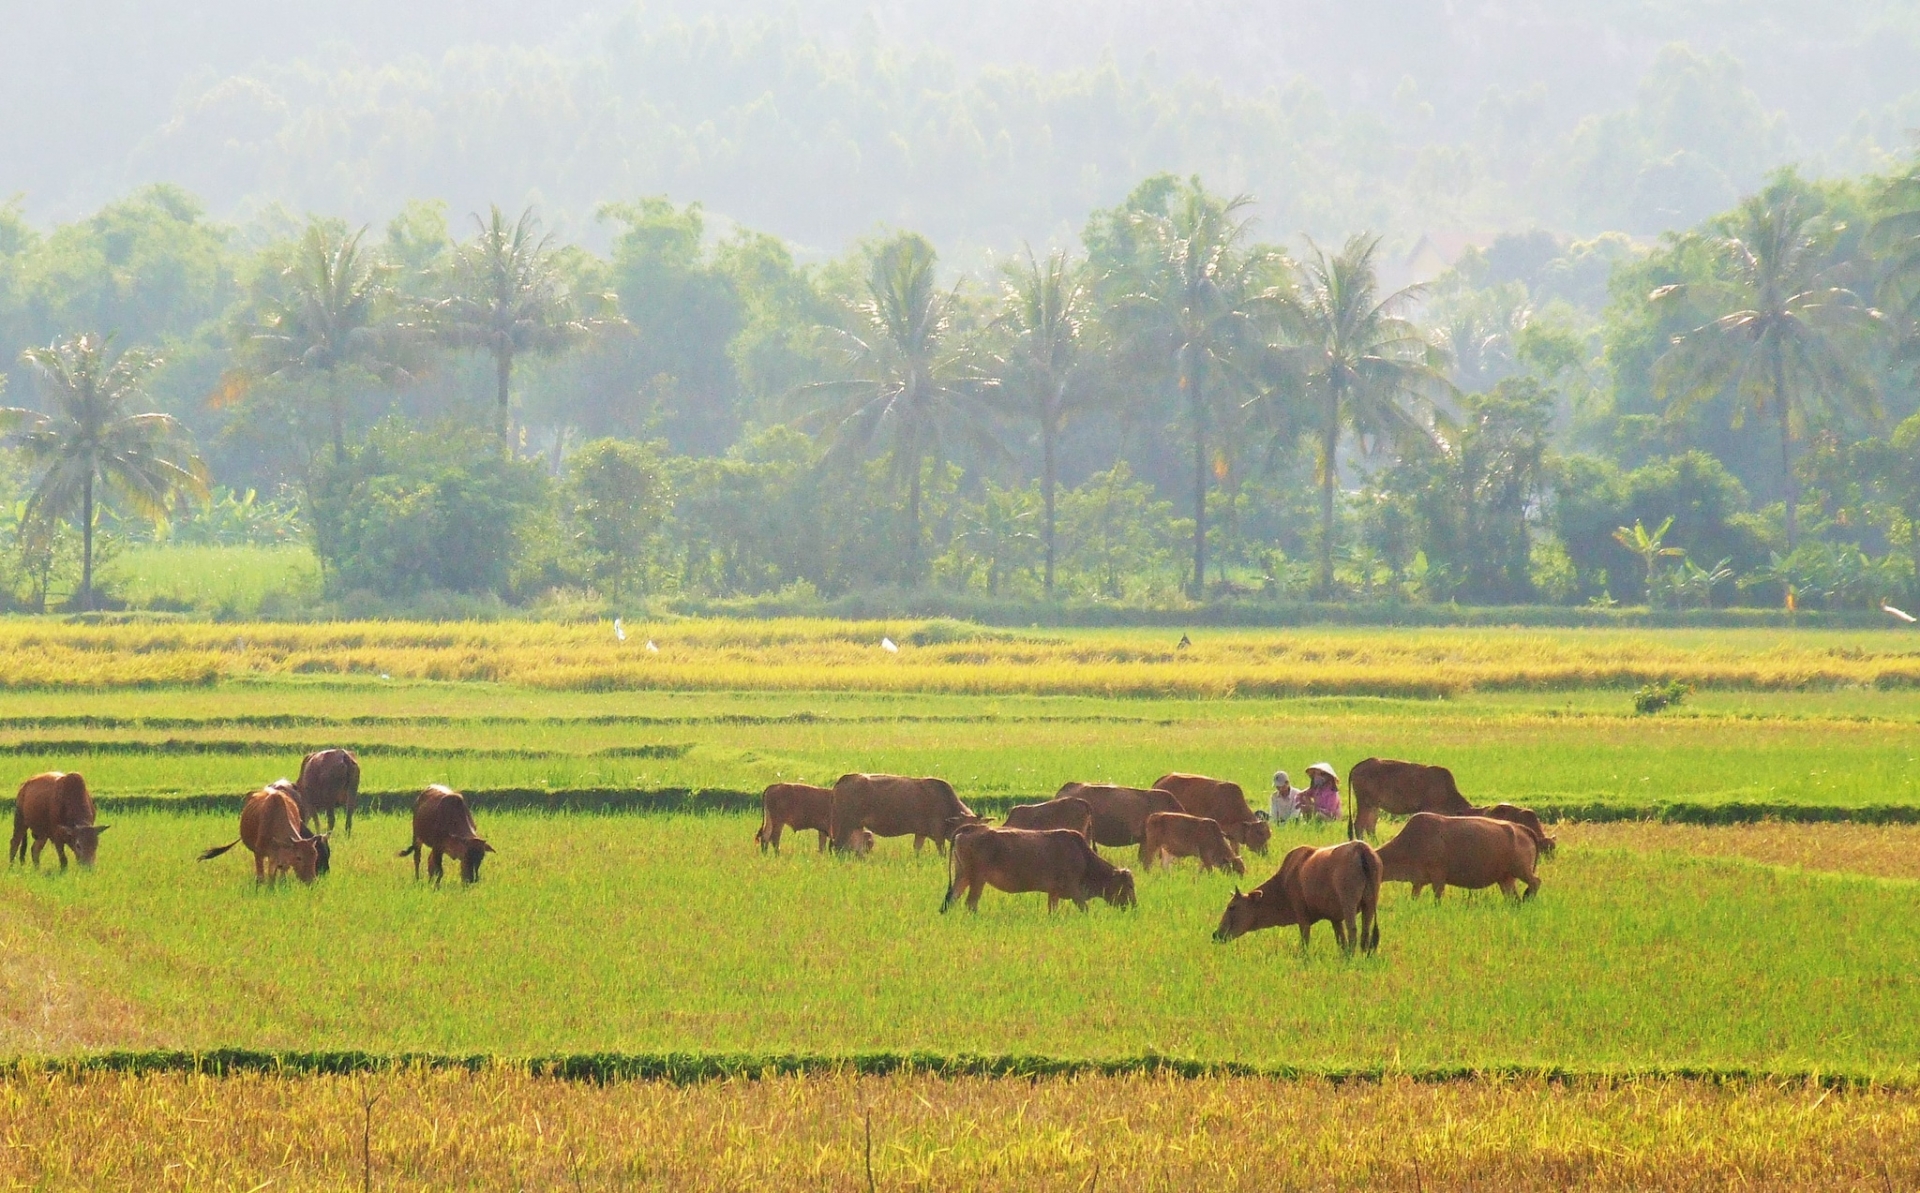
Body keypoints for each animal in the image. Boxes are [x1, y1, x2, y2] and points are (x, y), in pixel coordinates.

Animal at [825, 776, 983, 852]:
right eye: (965, 828)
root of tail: (844, 779)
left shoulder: (921, 833)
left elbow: (917, 850)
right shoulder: (938, 836)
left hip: (857, 826)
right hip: (845, 825)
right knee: (837, 846)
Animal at [944, 829, 1136, 910]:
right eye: (1130, 886)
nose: (1134, 906)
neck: (1083, 857)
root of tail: (964, 832)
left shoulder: (1054, 893)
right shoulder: (1075, 892)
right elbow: (1085, 909)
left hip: (963, 876)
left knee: (952, 899)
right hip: (977, 879)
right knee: (971, 903)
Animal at [1213, 837, 1382, 956]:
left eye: (1232, 907)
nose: (1216, 934)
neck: (1283, 882)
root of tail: (1361, 849)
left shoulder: (1302, 917)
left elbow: (1305, 941)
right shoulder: (1335, 919)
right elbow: (1341, 941)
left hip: (1349, 904)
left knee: (1353, 930)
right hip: (1369, 904)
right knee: (1365, 933)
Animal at [1382, 814, 1543, 899]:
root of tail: (1522, 829)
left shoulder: (1438, 876)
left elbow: (1437, 897)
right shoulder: (1418, 882)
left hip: (1521, 870)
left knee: (1535, 882)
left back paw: (1528, 898)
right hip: (1505, 879)